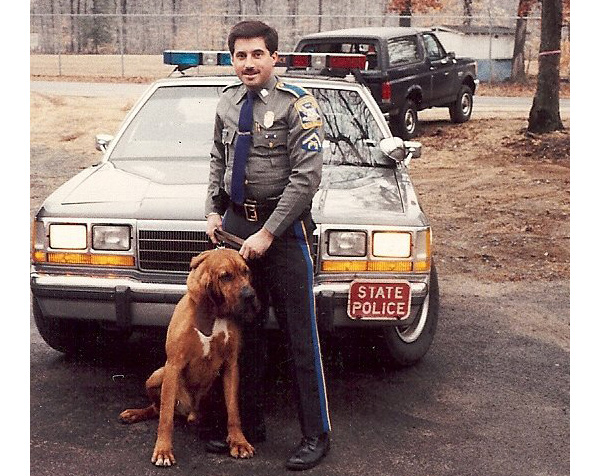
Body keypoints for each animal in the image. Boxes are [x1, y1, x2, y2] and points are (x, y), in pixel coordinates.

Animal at [119, 249, 258, 464]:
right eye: (225, 276)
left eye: (246, 271)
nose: (250, 295)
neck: (215, 313)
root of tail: (188, 413)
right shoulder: (173, 365)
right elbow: (165, 416)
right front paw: (163, 450)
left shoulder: (231, 365)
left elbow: (234, 411)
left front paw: (239, 442)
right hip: (157, 375)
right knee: (157, 408)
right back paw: (134, 414)